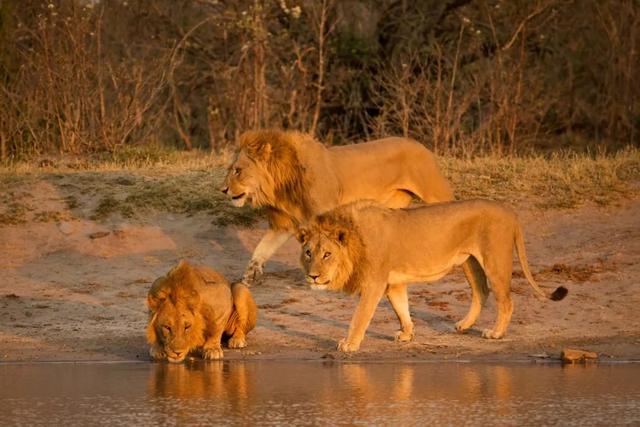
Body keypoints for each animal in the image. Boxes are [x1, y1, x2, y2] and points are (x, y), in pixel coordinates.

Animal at [222, 129, 452, 286]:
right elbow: (262, 248)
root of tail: (421, 145)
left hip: (434, 192)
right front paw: (250, 275)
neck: (283, 185)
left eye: (237, 171)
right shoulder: (285, 224)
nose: (223, 190)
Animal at [296, 201, 564, 354]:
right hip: (469, 262)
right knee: (481, 292)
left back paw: (495, 333)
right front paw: (407, 334)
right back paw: (463, 325)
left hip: (494, 261)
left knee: (506, 300)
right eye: (309, 253)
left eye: (327, 254)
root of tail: (511, 212)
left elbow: (359, 317)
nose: (313, 276)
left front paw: (350, 344)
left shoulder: (374, 283)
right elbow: (401, 308)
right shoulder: (393, 283)